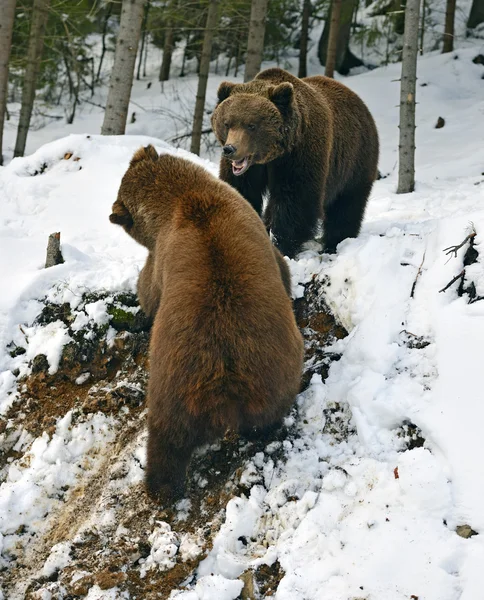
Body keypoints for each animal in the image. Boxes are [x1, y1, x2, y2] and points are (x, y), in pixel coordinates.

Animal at [111, 145, 304, 502]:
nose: (113, 211)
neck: (181, 197)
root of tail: (224, 381)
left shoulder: (161, 260)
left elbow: (148, 288)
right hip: (270, 371)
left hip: (175, 379)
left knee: (166, 438)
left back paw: (160, 486)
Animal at [211, 67, 378, 258]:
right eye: (227, 123)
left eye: (251, 125)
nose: (230, 149)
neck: (272, 156)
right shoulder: (249, 170)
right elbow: (242, 191)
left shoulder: (299, 155)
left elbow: (296, 200)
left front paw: (282, 245)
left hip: (355, 159)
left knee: (347, 205)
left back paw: (334, 244)